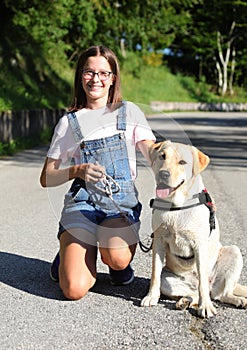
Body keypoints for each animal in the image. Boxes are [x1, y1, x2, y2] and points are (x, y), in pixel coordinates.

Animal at [141, 140, 247, 318]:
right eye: (162, 156)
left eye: (182, 162)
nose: (164, 174)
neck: (176, 207)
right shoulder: (159, 240)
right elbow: (155, 274)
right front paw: (151, 297)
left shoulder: (199, 245)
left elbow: (202, 281)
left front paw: (206, 307)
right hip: (167, 280)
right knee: (194, 294)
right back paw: (184, 302)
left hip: (234, 252)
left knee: (219, 293)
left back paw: (237, 300)